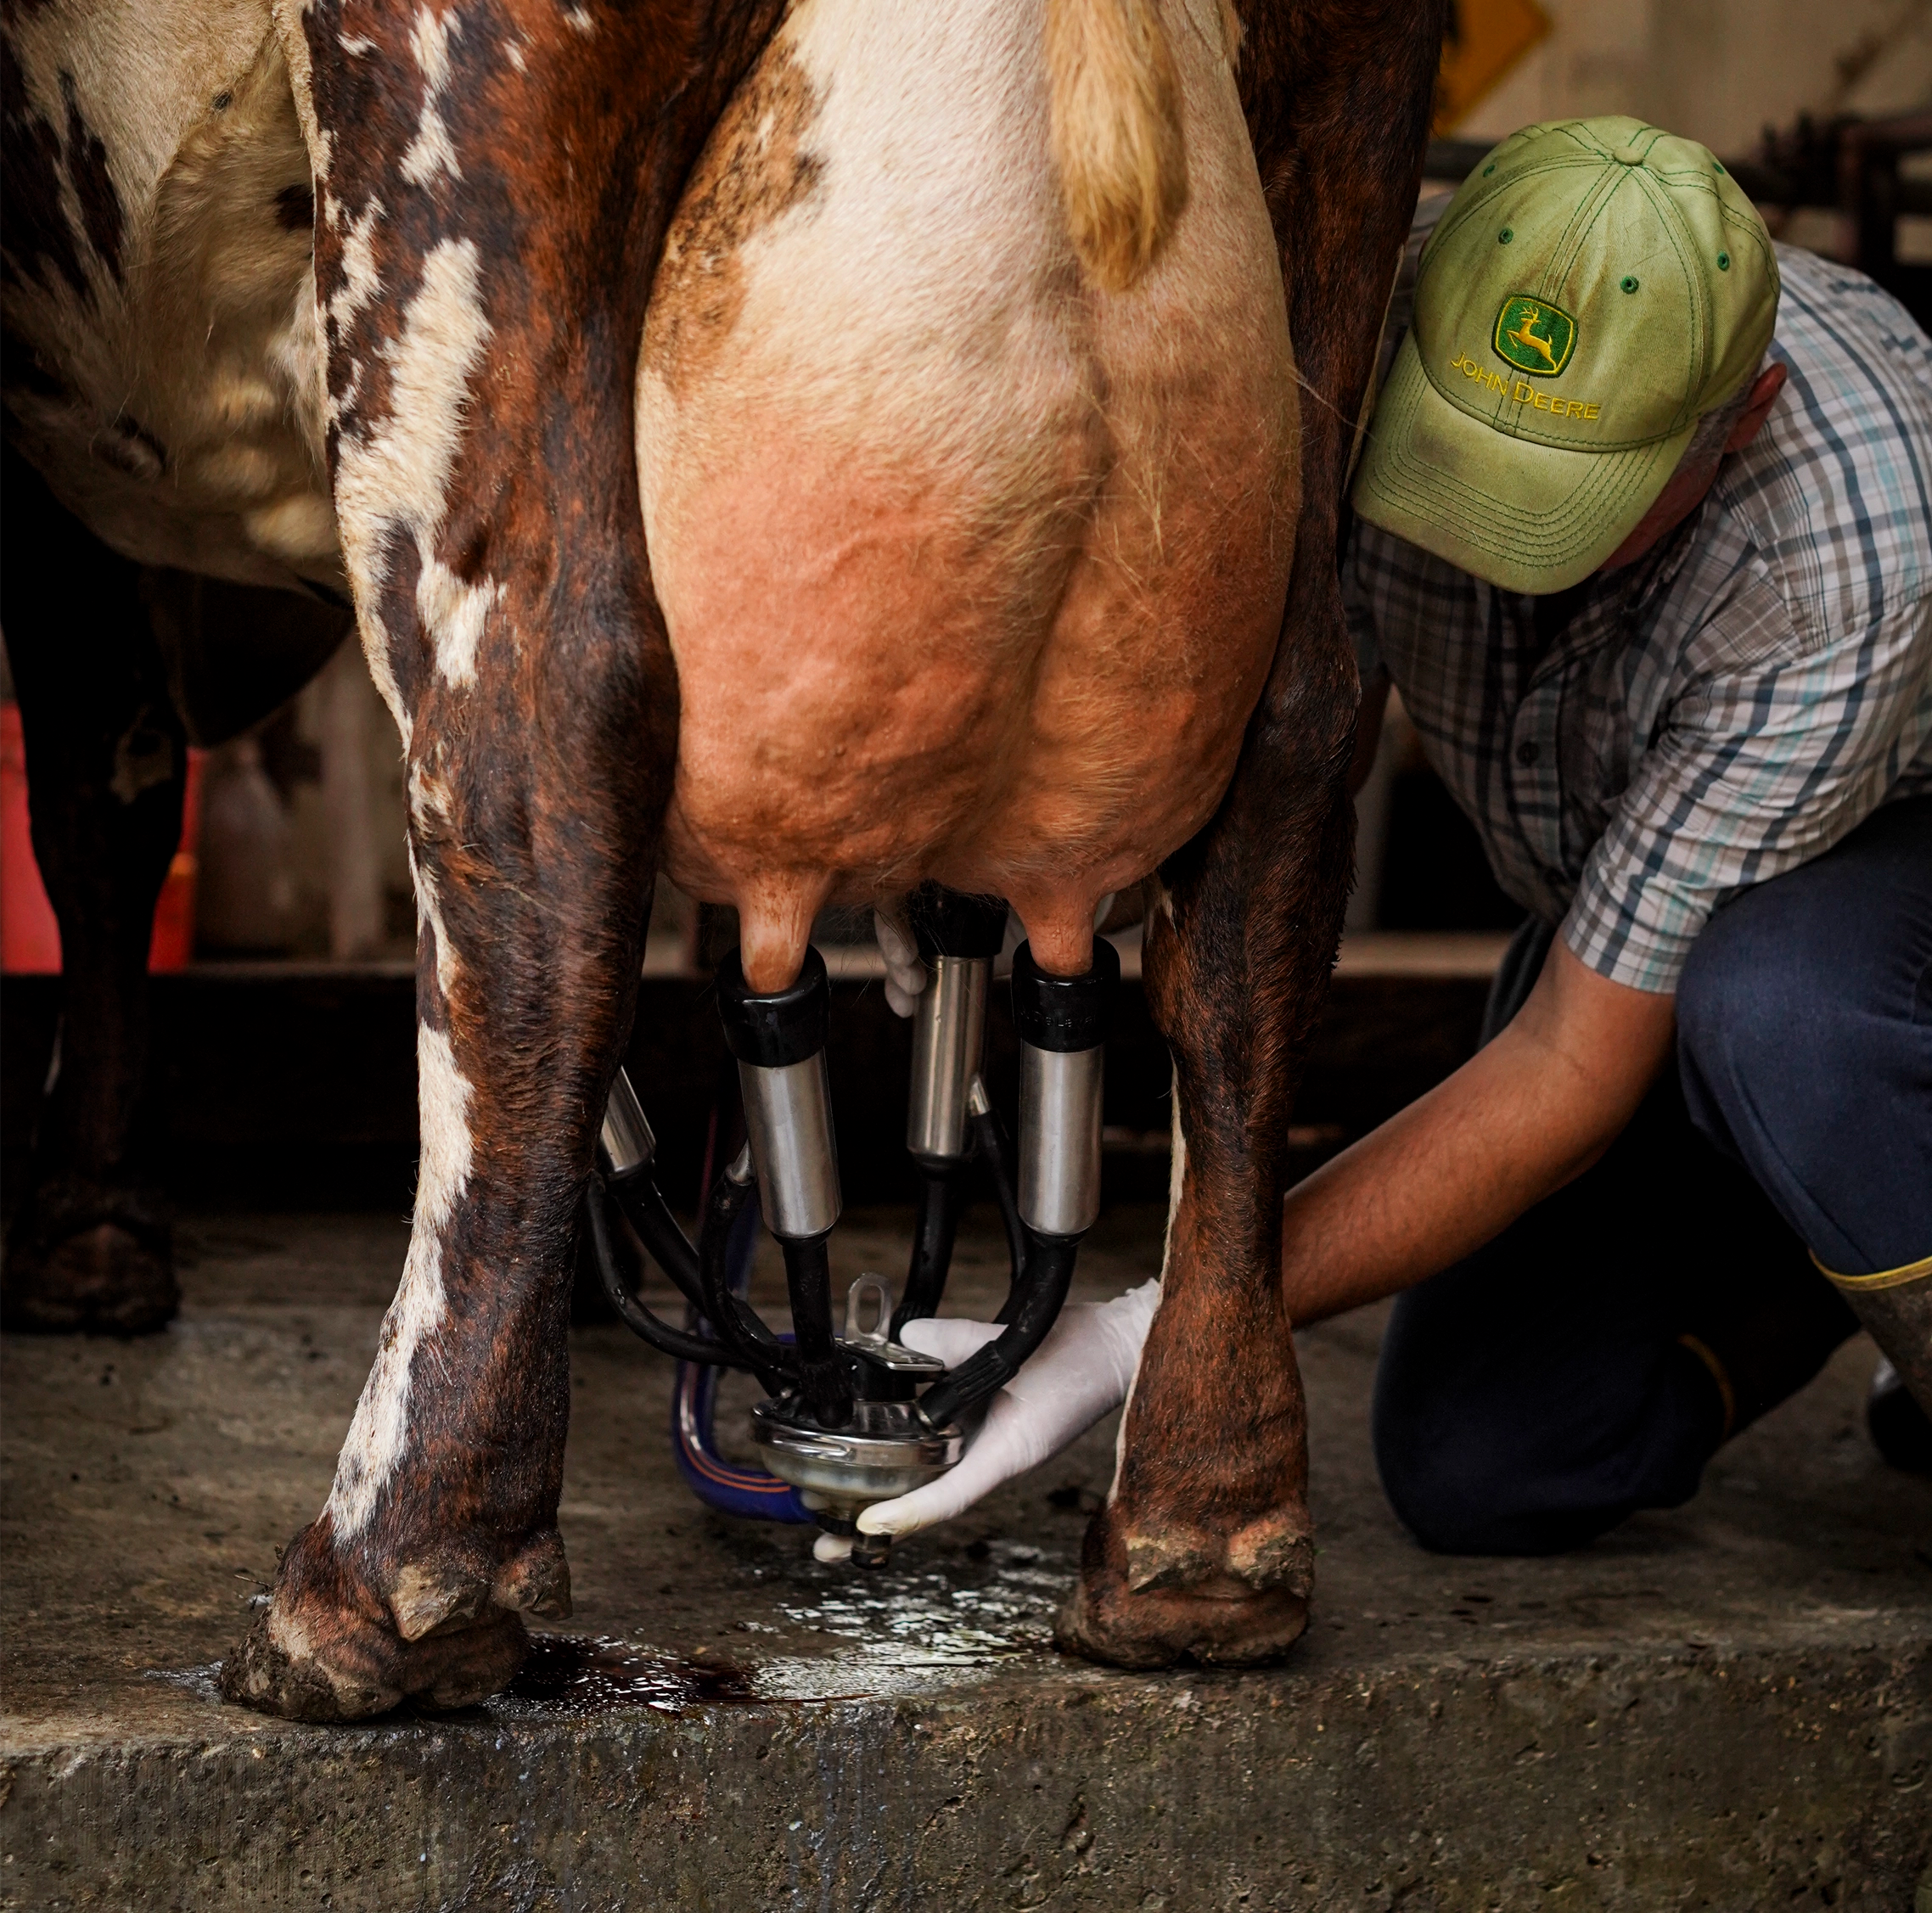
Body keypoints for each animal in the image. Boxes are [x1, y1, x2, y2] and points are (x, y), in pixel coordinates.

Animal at [0, 0, 1452, 1723]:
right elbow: (108, 777)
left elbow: (94, 782)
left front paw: (84, 1239)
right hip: (1341, 169)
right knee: (1290, 766)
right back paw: (1198, 1543)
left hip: (456, 169)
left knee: (541, 722)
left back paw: (386, 1581)